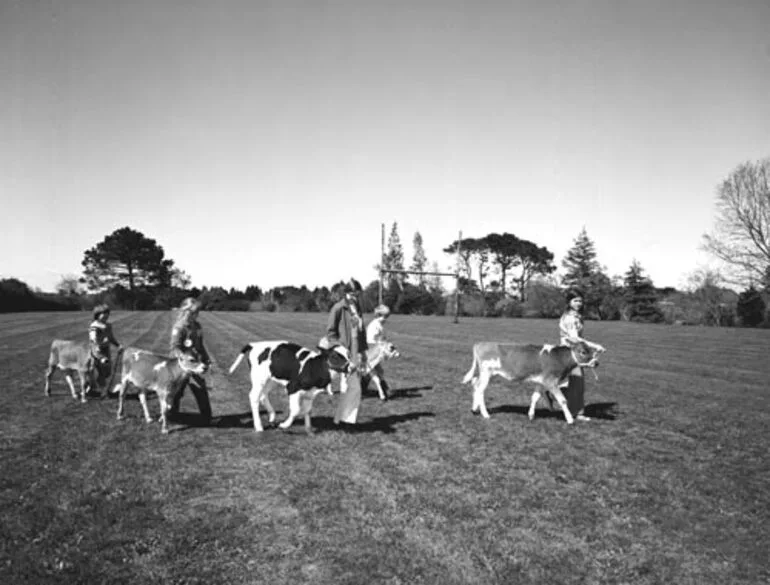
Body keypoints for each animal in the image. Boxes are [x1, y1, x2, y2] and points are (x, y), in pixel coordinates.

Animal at [460, 338, 604, 424]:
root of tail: (481, 343)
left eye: (591, 350)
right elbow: (563, 400)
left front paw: (531, 415)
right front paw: (569, 419)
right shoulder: (551, 381)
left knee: (475, 383)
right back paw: (485, 414)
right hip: (486, 372)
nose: (596, 363)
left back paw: (474, 408)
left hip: (489, 374)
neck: (559, 358)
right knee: (480, 390)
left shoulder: (541, 382)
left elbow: (534, 397)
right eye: (583, 351)